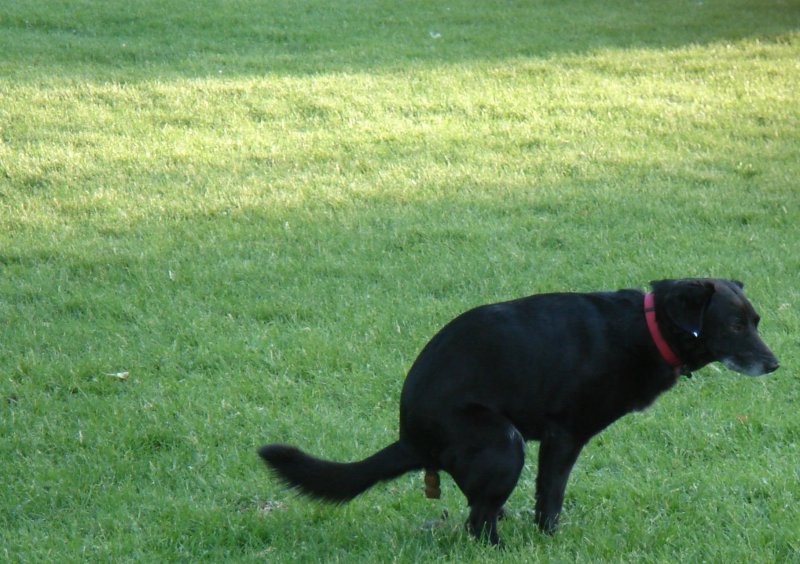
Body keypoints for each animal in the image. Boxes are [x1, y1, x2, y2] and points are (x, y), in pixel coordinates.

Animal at [259, 278, 779, 545]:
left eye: (755, 322)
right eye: (735, 326)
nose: (775, 365)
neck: (647, 327)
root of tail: (410, 436)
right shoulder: (563, 435)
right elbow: (551, 495)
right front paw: (549, 541)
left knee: (480, 509)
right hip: (502, 443)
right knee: (476, 522)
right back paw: (498, 547)